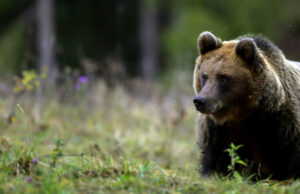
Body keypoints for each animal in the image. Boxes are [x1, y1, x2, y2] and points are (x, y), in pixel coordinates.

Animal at [193, 31, 298, 180]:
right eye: (204, 75)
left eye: (223, 77)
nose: (200, 101)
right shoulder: (217, 130)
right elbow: (215, 160)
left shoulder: (283, 126)